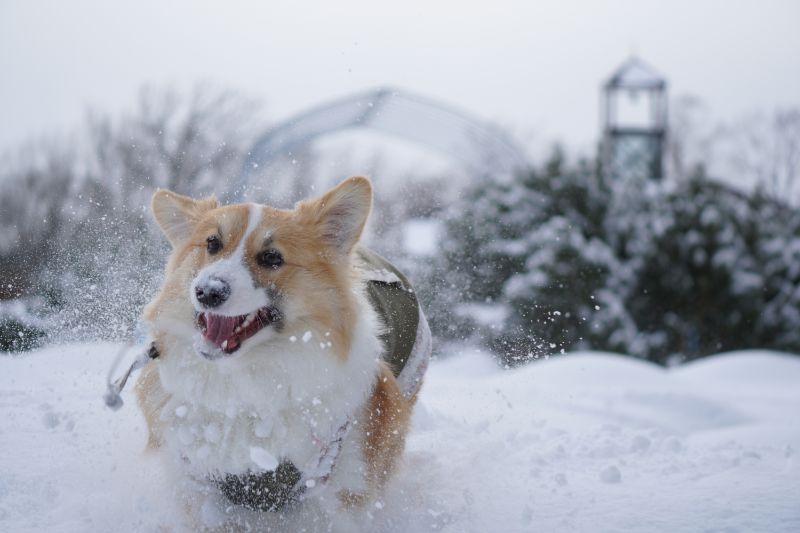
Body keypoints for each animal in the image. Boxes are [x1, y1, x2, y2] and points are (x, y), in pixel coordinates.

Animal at [133, 176, 432, 520]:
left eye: (271, 258)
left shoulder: (343, 487)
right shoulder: (196, 482)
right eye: (212, 244)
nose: (208, 291)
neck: (245, 388)